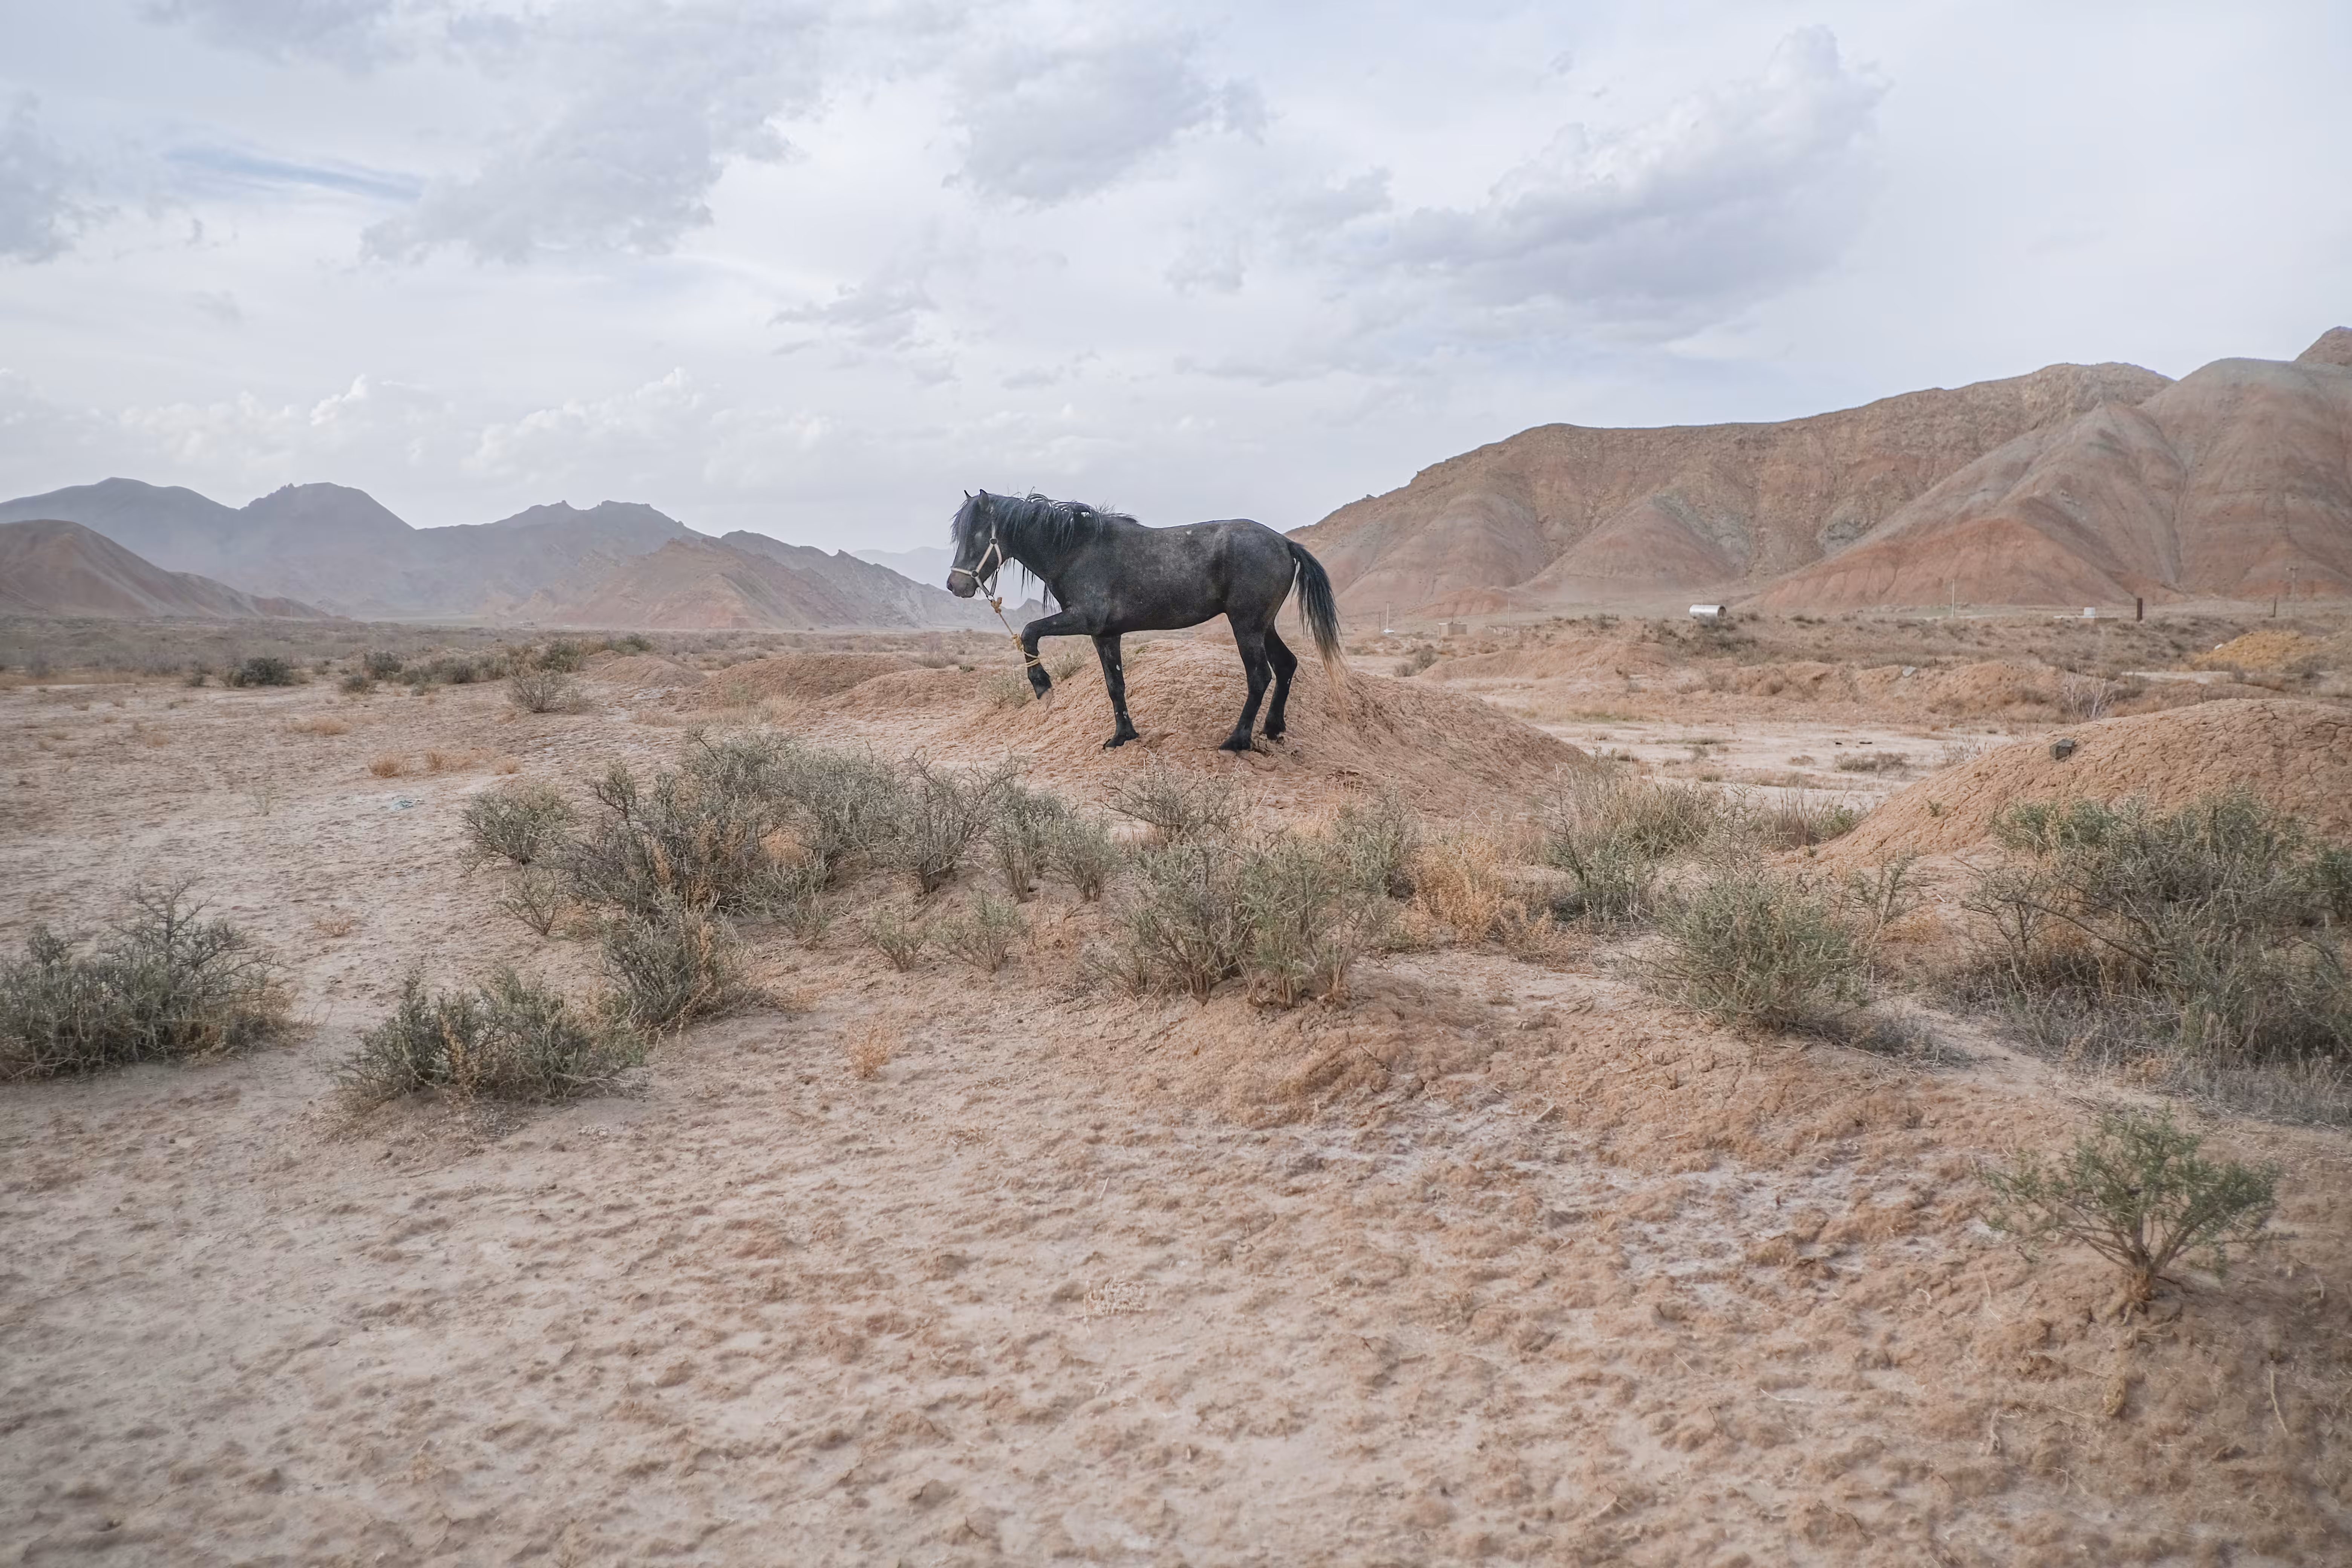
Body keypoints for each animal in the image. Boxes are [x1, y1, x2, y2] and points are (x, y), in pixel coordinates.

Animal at [944, 490, 1347, 752]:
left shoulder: (1083, 619)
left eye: (977, 535)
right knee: (1286, 665)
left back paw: (1237, 740)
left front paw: (1043, 687)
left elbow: (1030, 632)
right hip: (1265, 625)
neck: (1077, 549)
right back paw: (1273, 729)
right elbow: (1115, 686)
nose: (955, 585)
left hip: (1246, 625)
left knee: (1260, 676)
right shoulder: (1105, 635)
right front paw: (1123, 736)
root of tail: (1284, 543)